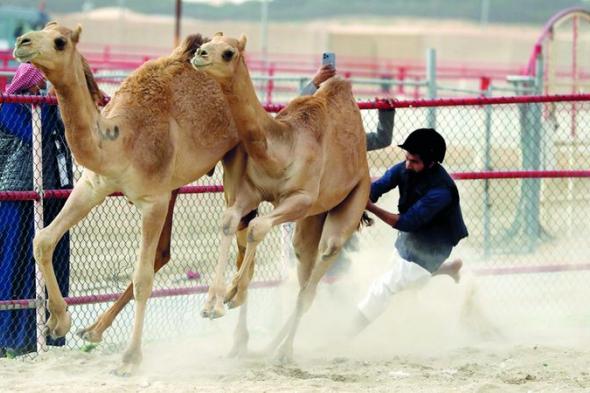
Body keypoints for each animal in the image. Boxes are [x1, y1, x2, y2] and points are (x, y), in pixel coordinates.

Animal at [12, 22, 251, 374]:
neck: (120, 139)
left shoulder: (153, 200)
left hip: (239, 156)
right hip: (176, 186)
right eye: (43, 28)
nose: (22, 42)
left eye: (59, 41)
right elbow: (42, 239)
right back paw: (94, 329)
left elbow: (142, 278)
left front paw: (130, 358)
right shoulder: (92, 185)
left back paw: (221, 310)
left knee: (238, 231)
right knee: (168, 250)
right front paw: (59, 321)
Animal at [192, 33, 372, 362]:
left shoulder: (301, 198)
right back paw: (270, 346)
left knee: (318, 271)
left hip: (351, 201)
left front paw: (232, 294)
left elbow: (257, 228)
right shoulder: (252, 192)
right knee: (303, 270)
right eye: (210, 41)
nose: (199, 54)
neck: (282, 147)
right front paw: (213, 303)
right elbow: (230, 221)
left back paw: (285, 352)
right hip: (313, 218)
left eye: (228, 52)